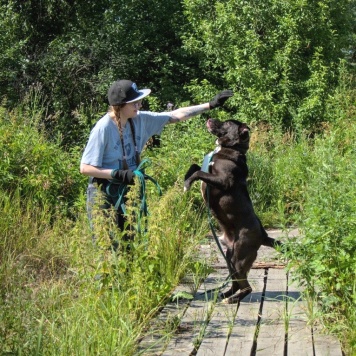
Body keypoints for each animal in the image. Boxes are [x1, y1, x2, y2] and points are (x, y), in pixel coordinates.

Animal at [184, 117, 280, 304]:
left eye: (227, 123)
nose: (210, 118)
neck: (230, 148)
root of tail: (263, 235)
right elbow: (194, 166)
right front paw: (186, 179)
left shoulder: (223, 180)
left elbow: (199, 172)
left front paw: (186, 184)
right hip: (230, 257)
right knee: (236, 283)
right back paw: (225, 295)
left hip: (239, 258)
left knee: (247, 287)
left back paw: (231, 299)